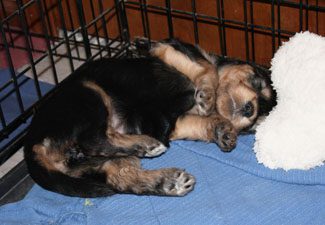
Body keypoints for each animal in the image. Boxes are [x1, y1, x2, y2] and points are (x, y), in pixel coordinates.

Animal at [24, 39, 274, 198]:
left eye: (255, 123)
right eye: (256, 81)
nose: (251, 110)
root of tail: (32, 146)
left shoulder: (178, 123)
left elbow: (203, 122)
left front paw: (224, 131)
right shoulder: (172, 48)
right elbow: (207, 69)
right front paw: (207, 95)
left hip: (95, 163)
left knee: (120, 177)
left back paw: (168, 182)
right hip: (90, 93)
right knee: (92, 138)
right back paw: (147, 145)